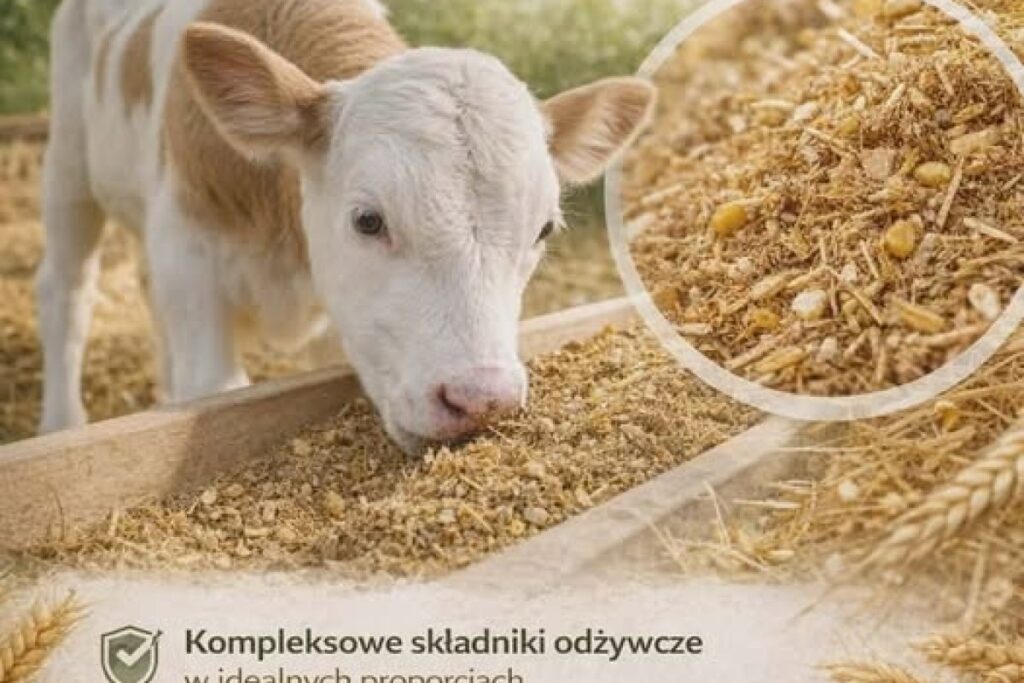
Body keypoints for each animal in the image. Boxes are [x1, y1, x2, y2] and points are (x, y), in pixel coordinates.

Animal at [38, 0, 655, 453]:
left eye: (543, 230)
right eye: (368, 220)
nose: (481, 400)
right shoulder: (191, 266)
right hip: (68, 161)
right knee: (66, 291)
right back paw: (60, 423)